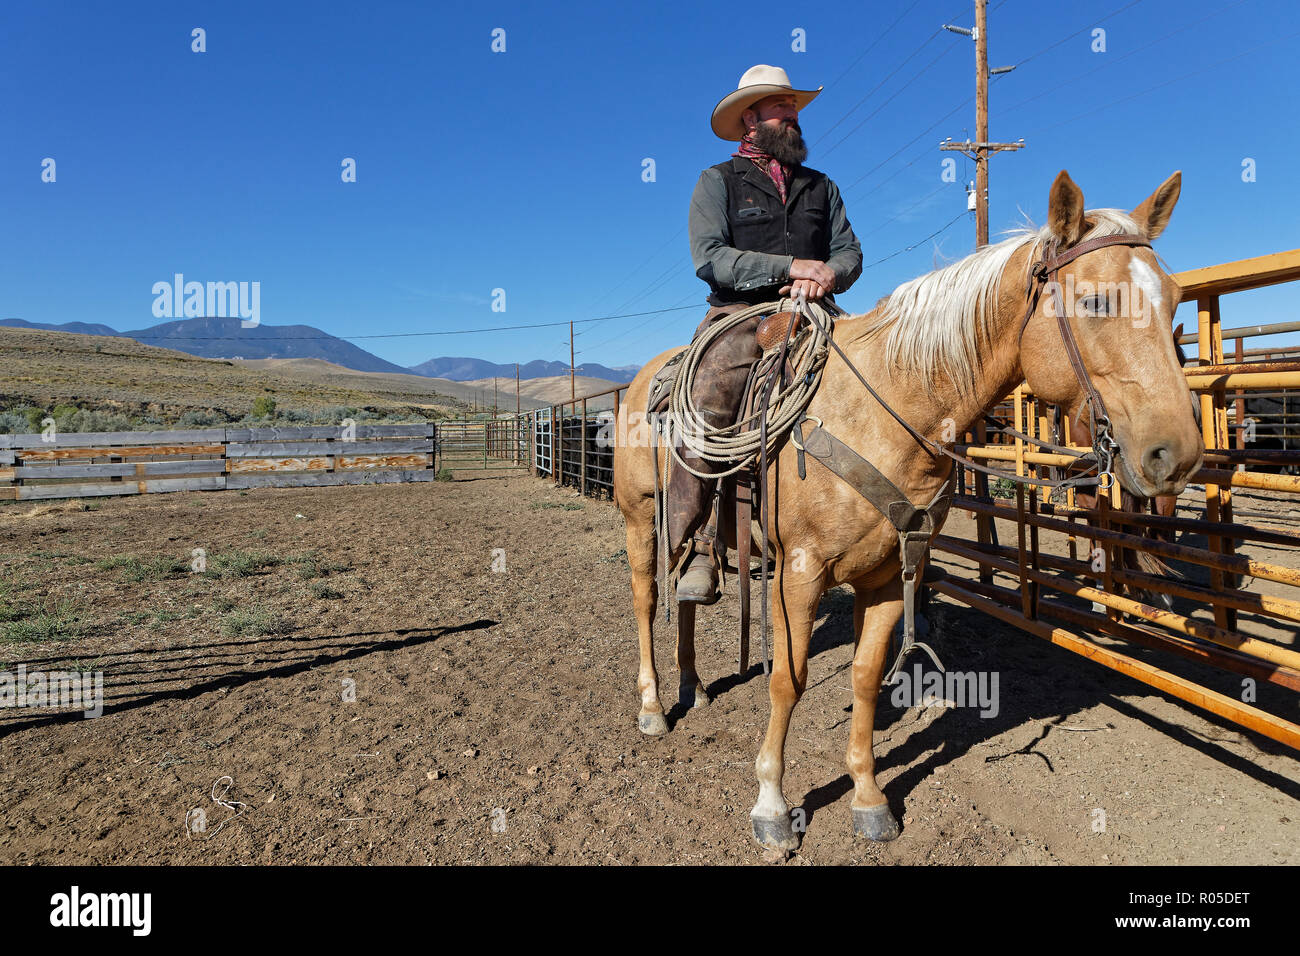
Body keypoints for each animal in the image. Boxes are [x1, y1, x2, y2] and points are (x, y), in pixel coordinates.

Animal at [613, 171, 1201, 853]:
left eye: (1175, 299)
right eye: (1097, 303)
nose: (1176, 453)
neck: (888, 410)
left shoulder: (893, 571)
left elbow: (866, 676)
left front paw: (869, 798)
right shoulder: (799, 572)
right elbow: (788, 679)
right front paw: (771, 805)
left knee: (685, 594)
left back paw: (693, 684)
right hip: (641, 519)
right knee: (647, 599)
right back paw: (654, 706)